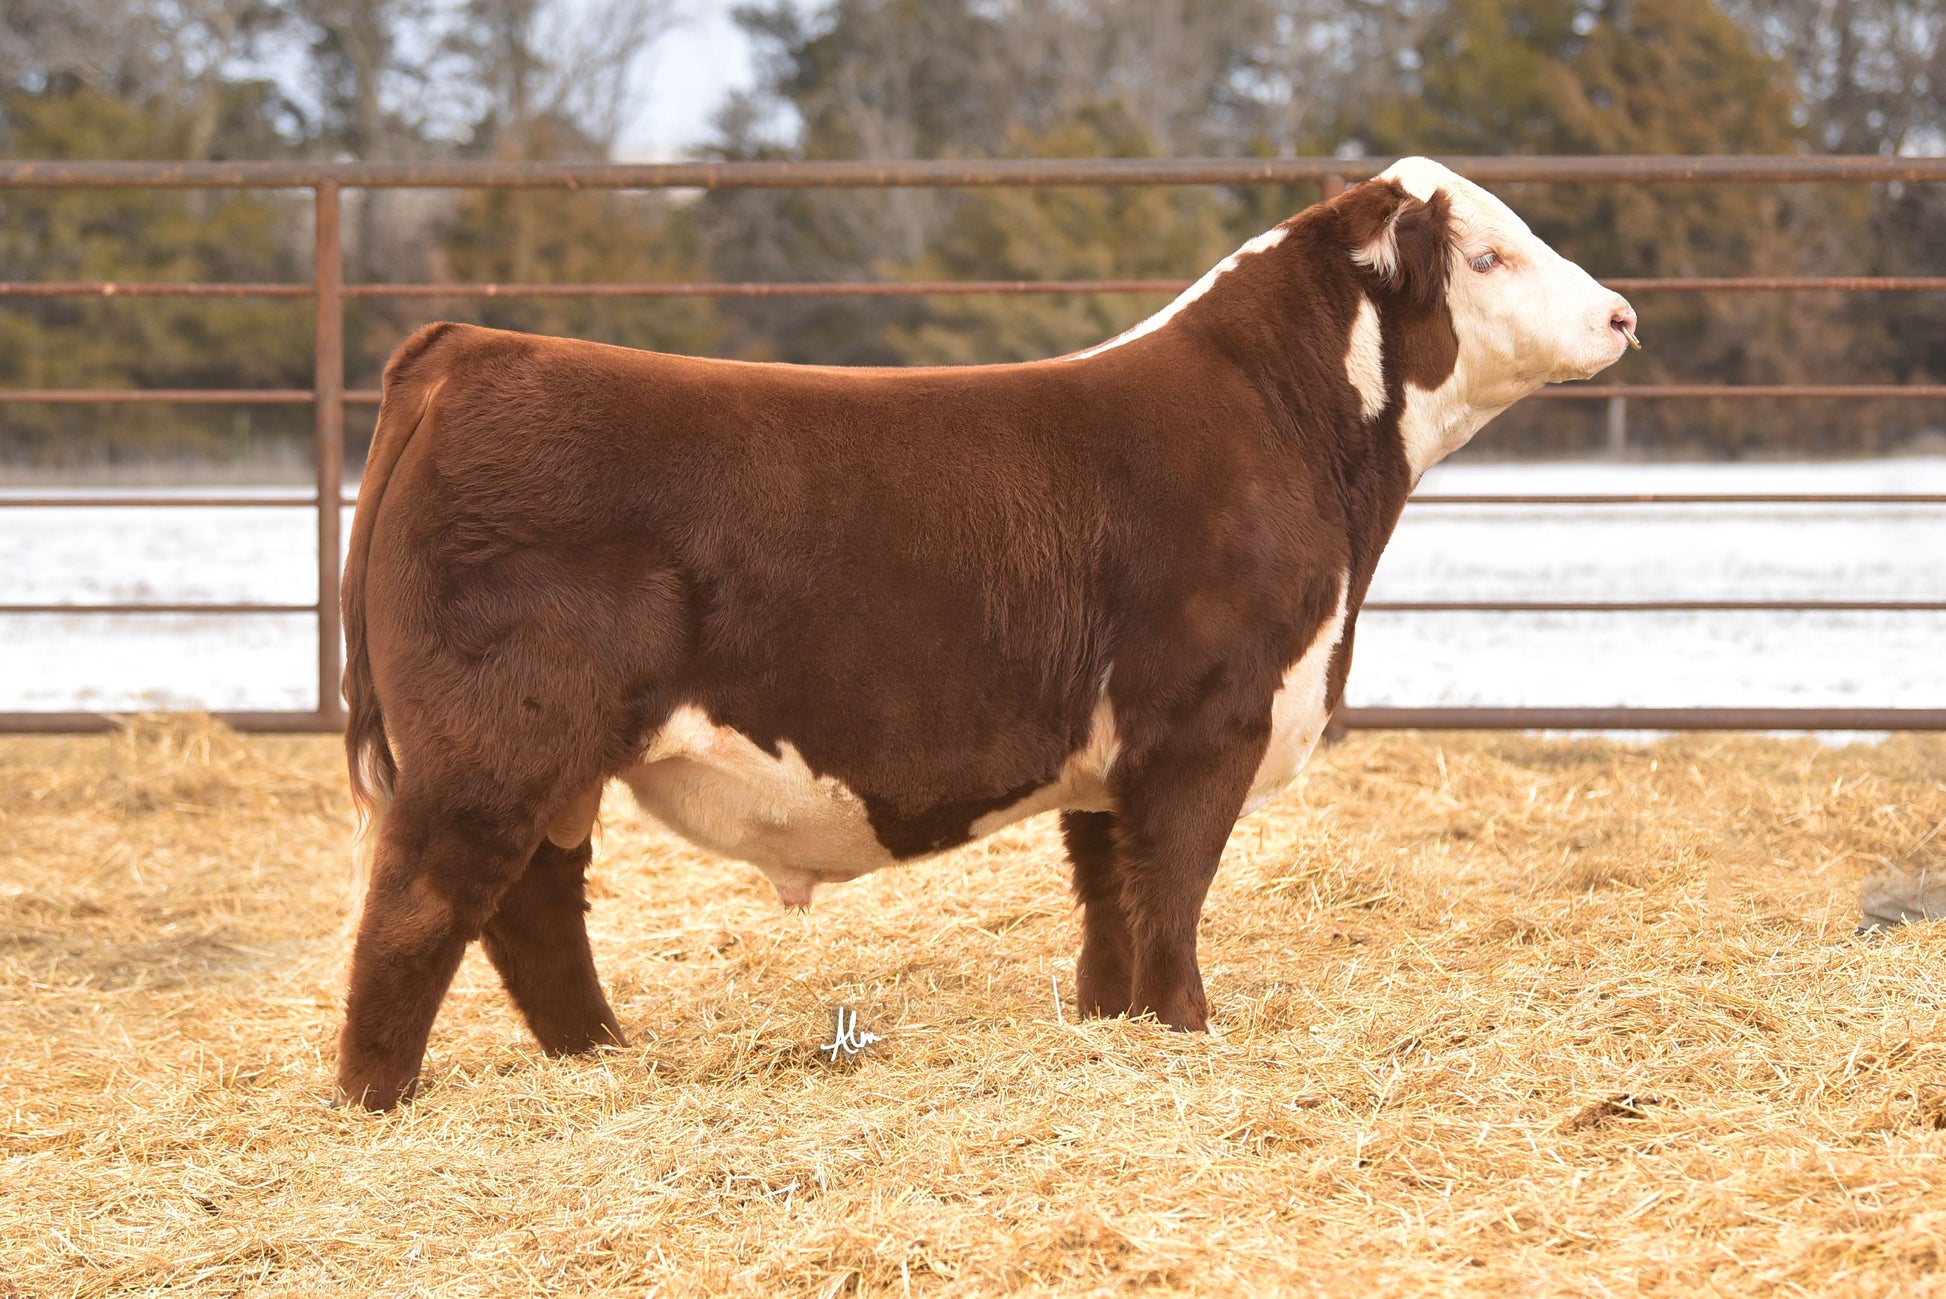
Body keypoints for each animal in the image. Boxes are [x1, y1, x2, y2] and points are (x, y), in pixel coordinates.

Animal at [334, 157, 1638, 1109]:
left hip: (543, 760)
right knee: (420, 905)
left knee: (531, 906)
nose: (1621, 312)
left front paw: (1115, 1021)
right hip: (493, 742)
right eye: (1487, 253)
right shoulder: (1201, 724)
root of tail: (468, 347)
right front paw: (1186, 1027)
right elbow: (1172, 889)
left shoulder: (1111, 759)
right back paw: (379, 1099)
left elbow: (1113, 898)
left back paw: (603, 1055)